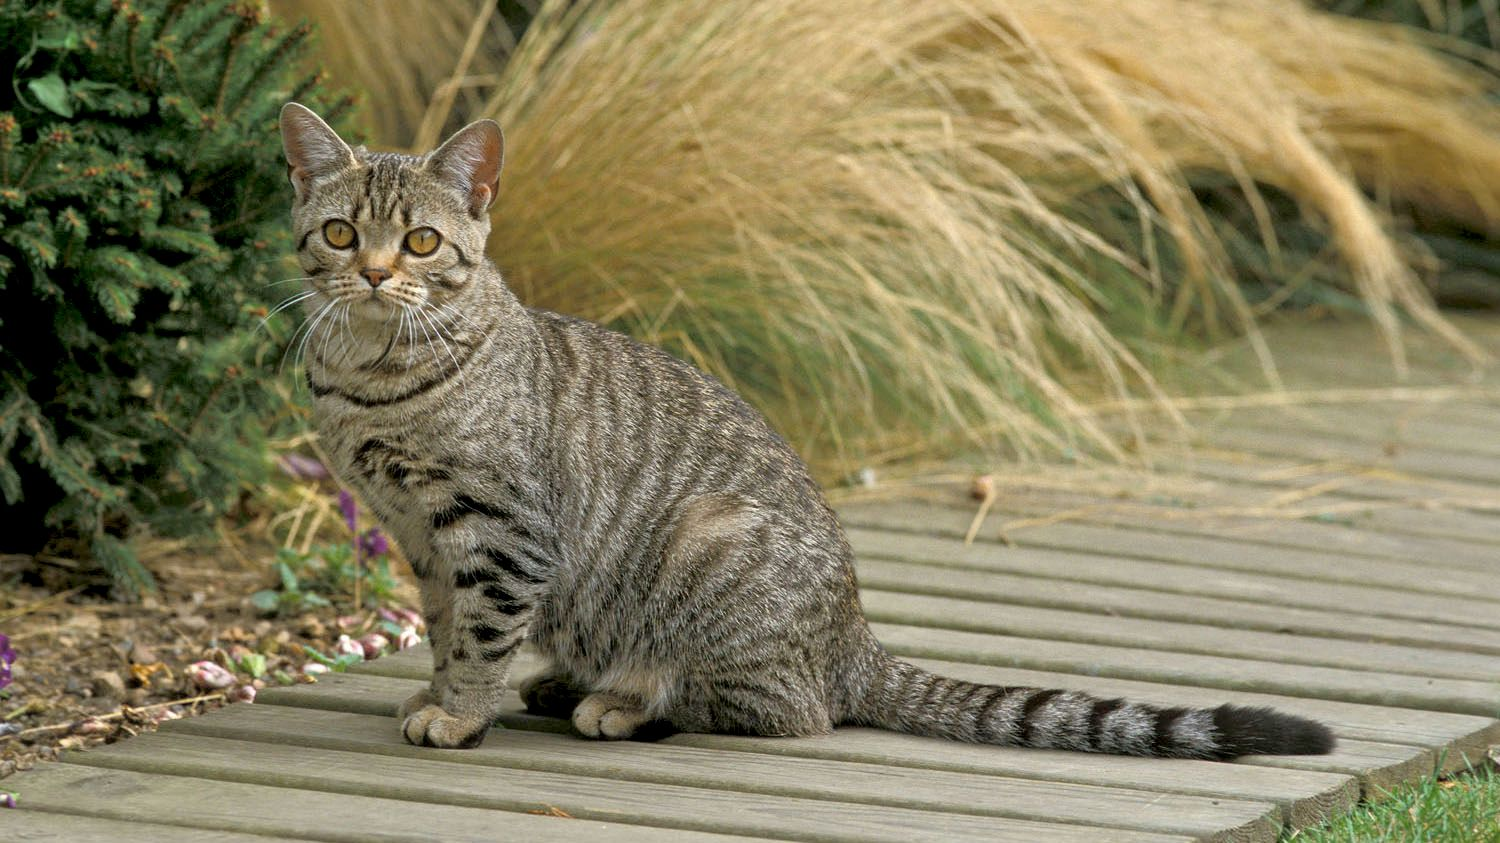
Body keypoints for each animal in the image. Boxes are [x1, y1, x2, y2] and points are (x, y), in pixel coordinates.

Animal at [276, 103, 1332, 756]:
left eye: (421, 241)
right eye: (340, 233)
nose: (374, 272)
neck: (375, 376)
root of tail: (854, 637)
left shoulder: (500, 530)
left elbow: (481, 632)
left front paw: (458, 713)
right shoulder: (418, 531)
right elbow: (445, 624)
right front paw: (442, 692)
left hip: (708, 546)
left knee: (788, 710)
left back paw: (620, 701)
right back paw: (567, 685)